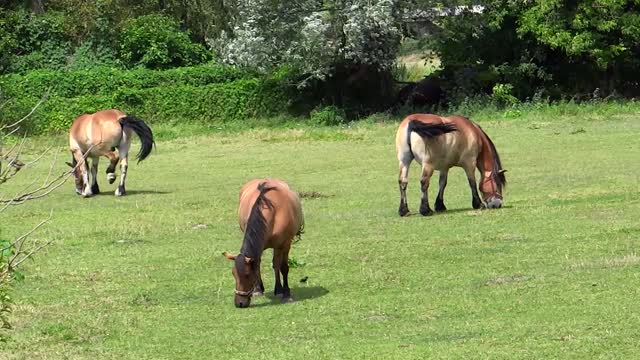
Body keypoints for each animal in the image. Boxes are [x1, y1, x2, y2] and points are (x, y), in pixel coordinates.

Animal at [224, 179, 306, 308]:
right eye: (233, 274)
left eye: (247, 275)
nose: (240, 303)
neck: (274, 213)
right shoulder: (259, 247)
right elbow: (258, 265)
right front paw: (258, 290)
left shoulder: (285, 244)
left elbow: (283, 267)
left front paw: (285, 292)